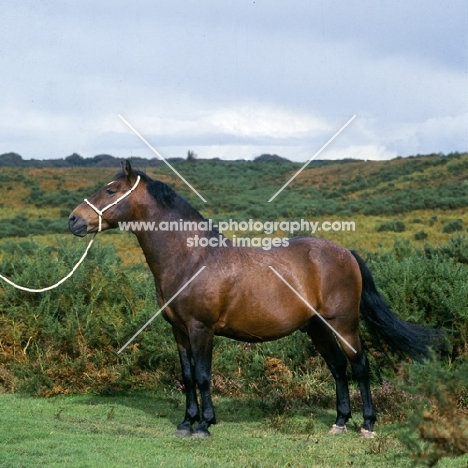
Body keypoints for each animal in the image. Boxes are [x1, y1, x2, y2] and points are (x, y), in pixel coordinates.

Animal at [67, 161, 444, 438]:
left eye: (110, 190)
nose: (74, 220)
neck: (192, 257)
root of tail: (346, 252)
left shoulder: (201, 329)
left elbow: (202, 375)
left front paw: (204, 425)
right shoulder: (179, 331)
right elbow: (187, 375)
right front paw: (186, 422)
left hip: (344, 325)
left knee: (360, 366)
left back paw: (366, 425)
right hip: (318, 328)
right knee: (338, 368)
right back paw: (339, 423)